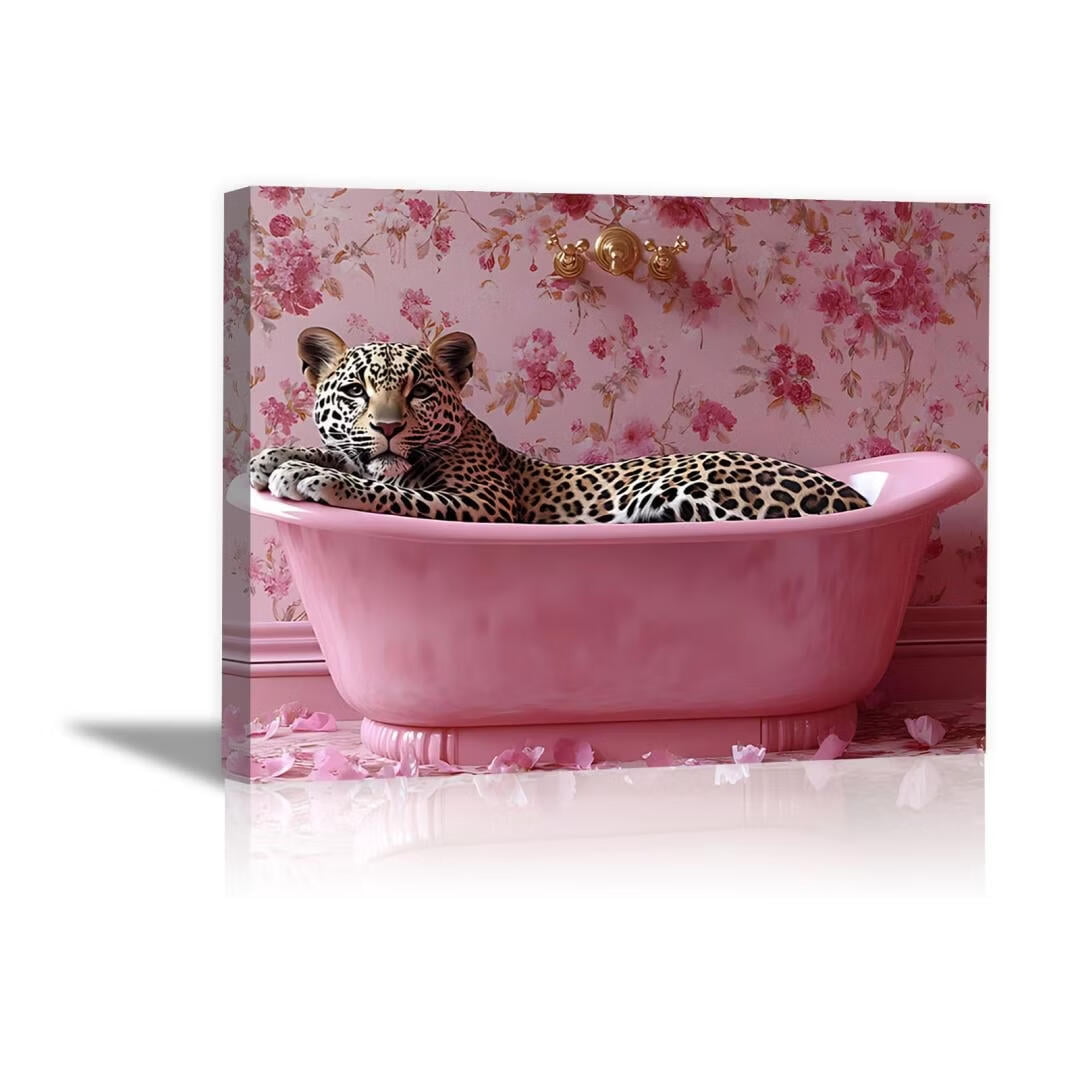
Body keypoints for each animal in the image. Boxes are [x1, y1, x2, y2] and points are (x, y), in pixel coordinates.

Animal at [249, 327, 871, 524]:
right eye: (356, 391)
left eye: (420, 391)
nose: (389, 427)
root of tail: (855, 495)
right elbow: (355, 459)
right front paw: (275, 458)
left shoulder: (482, 503)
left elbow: (391, 492)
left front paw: (313, 477)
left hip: (695, 485)